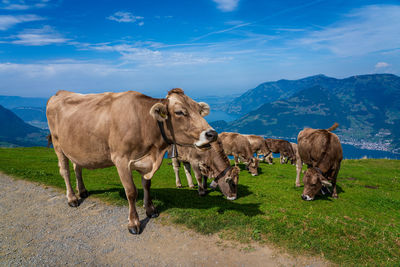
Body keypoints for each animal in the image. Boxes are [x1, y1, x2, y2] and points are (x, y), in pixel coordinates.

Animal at [46, 88, 219, 234]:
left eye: (199, 111)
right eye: (180, 112)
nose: (212, 134)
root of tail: (59, 92)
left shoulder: (147, 163)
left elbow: (147, 185)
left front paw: (150, 209)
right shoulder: (121, 160)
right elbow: (131, 192)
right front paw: (134, 223)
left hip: (76, 147)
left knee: (77, 167)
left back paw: (82, 191)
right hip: (57, 143)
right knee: (65, 171)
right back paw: (72, 198)